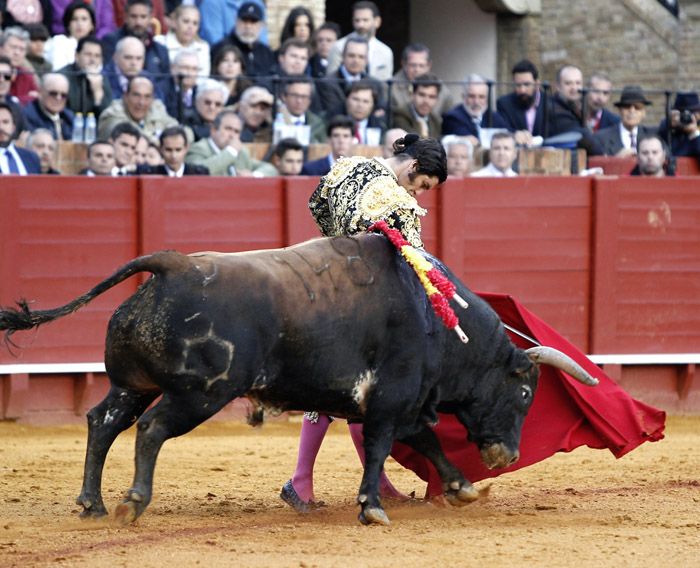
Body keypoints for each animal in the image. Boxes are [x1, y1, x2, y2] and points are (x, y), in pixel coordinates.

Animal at [1, 233, 596, 524]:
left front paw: (462, 487)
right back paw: (131, 503)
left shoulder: (403, 402)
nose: (507, 455)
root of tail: (172, 266)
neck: (436, 318)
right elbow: (383, 447)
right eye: (525, 392)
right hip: (200, 394)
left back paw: (92, 503)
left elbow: (425, 442)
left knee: (102, 422)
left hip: (133, 383)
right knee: (149, 431)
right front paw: (372, 508)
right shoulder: (393, 399)